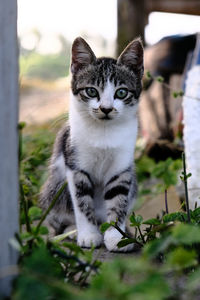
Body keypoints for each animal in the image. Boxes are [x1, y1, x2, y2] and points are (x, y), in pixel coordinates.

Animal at [40, 35, 144, 251]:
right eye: (91, 91)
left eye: (121, 93)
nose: (106, 108)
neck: (103, 132)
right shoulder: (76, 164)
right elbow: (81, 201)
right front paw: (88, 235)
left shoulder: (121, 167)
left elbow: (118, 200)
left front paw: (116, 236)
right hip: (54, 188)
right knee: (57, 220)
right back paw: (72, 231)